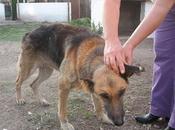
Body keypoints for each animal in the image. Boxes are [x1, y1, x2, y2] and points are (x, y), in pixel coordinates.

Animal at [15, 23, 144, 130]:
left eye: (122, 92)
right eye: (104, 95)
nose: (119, 123)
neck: (95, 57)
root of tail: (30, 32)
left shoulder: (93, 87)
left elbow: (98, 105)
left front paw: (102, 117)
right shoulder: (63, 86)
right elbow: (62, 109)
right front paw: (64, 124)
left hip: (46, 71)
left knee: (33, 84)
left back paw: (41, 101)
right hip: (28, 69)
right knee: (18, 82)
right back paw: (19, 99)